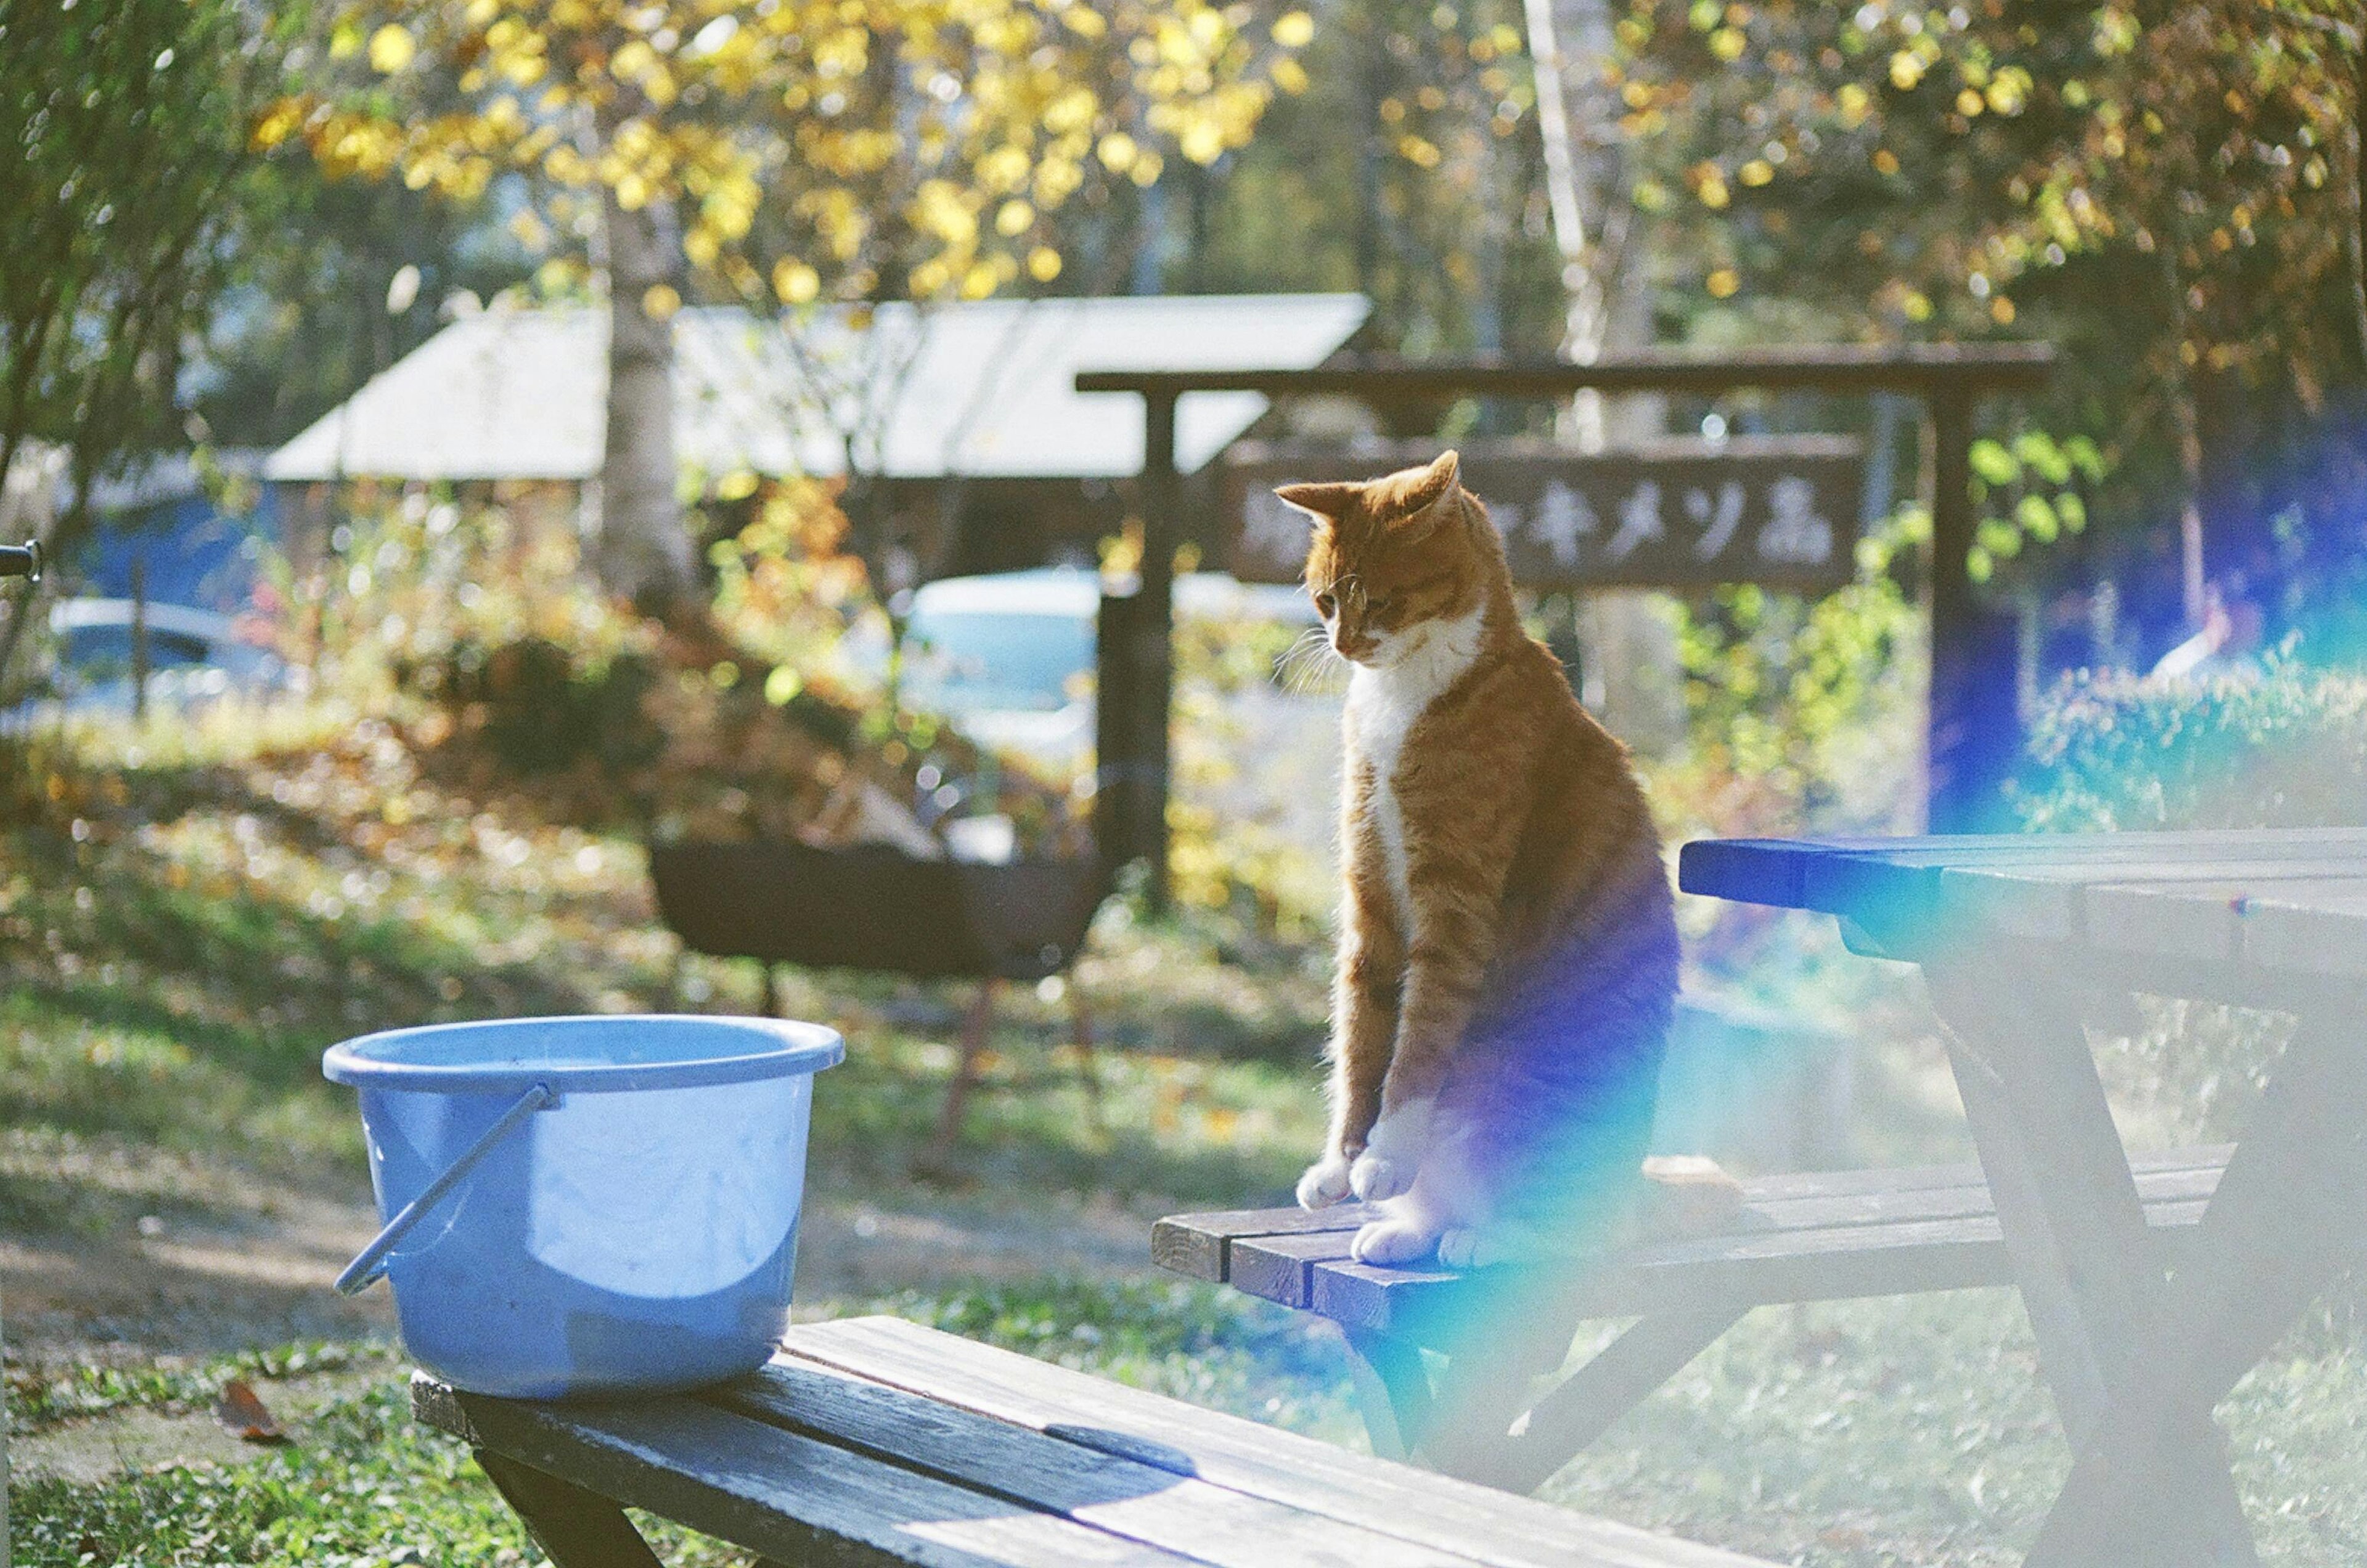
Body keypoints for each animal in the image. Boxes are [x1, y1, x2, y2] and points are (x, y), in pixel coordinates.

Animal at [1278, 447, 1685, 1269]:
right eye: (1326, 600)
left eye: (1381, 601)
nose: (1342, 646)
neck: (1400, 699)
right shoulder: (1370, 898)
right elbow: (1359, 1038)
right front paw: (1341, 1163)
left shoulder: (1455, 901)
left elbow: (1416, 1044)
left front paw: (1385, 1155)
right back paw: (1408, 1232)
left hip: (1518, 1091)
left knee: (1558, 1232)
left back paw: (1485, 1241)